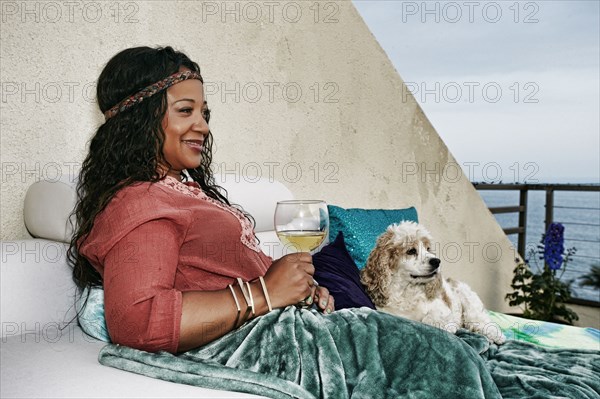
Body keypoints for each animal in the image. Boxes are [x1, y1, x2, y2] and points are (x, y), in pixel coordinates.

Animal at [360, 220, 506, 346]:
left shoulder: (444, 310)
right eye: (411, 251)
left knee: (481, 321)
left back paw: (496, 335)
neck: (407, 291)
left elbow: (430, 319)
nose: (437, 261)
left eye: (428, 248)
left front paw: (443, 325)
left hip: (470, 305)